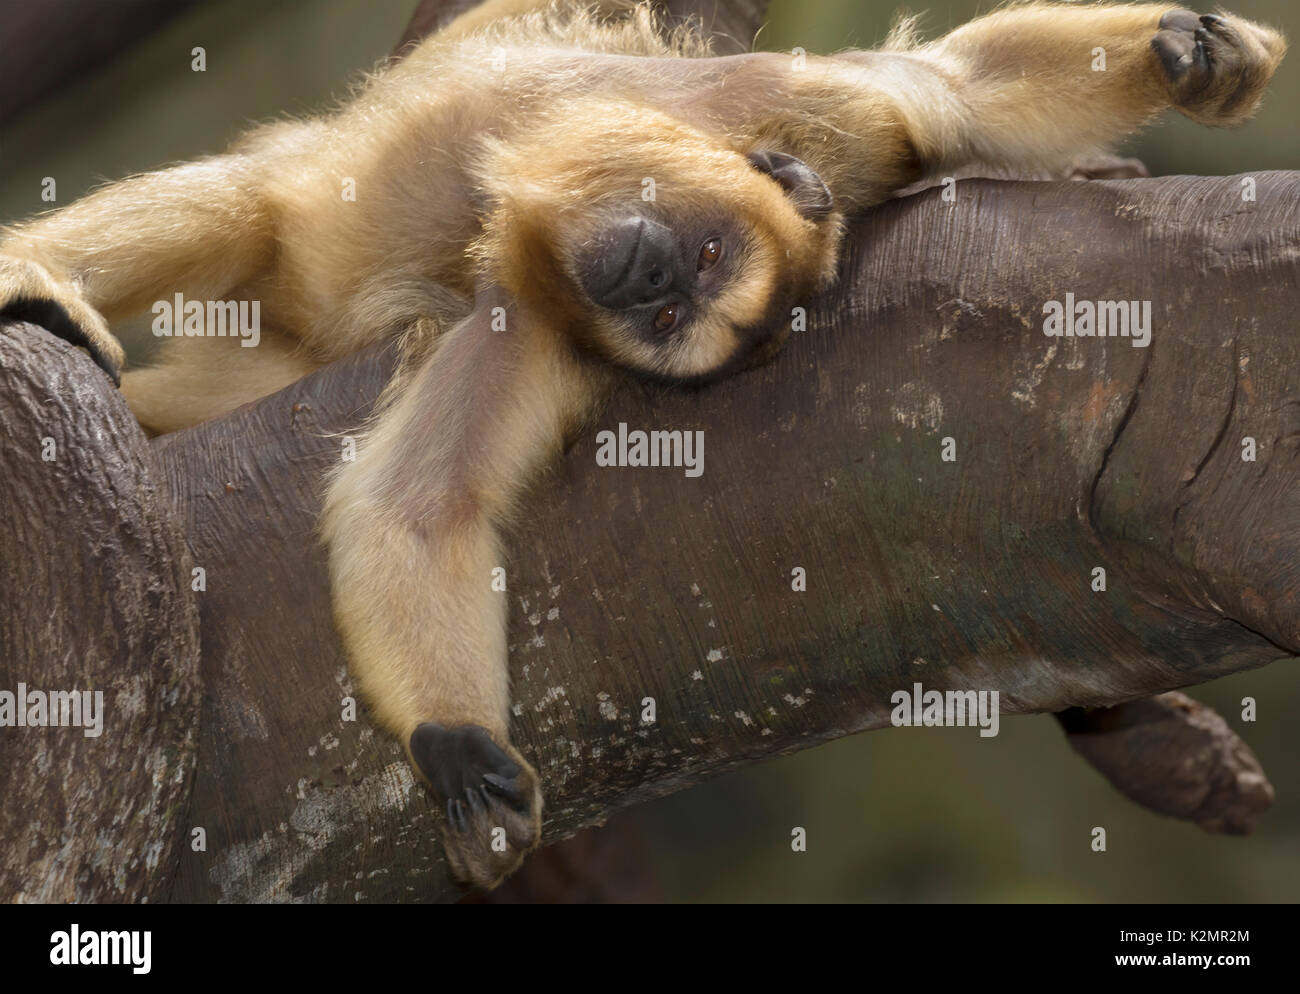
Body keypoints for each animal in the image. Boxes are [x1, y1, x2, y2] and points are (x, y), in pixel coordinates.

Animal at [0, 1, 1284, 889]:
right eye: (698, 262)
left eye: (682, 311)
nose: (654, 283)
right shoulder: (792, 121)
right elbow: (938, 95)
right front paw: (1185, 51)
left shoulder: (537, 331)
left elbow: (417, 505)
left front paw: (453, 744)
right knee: (247, 203)